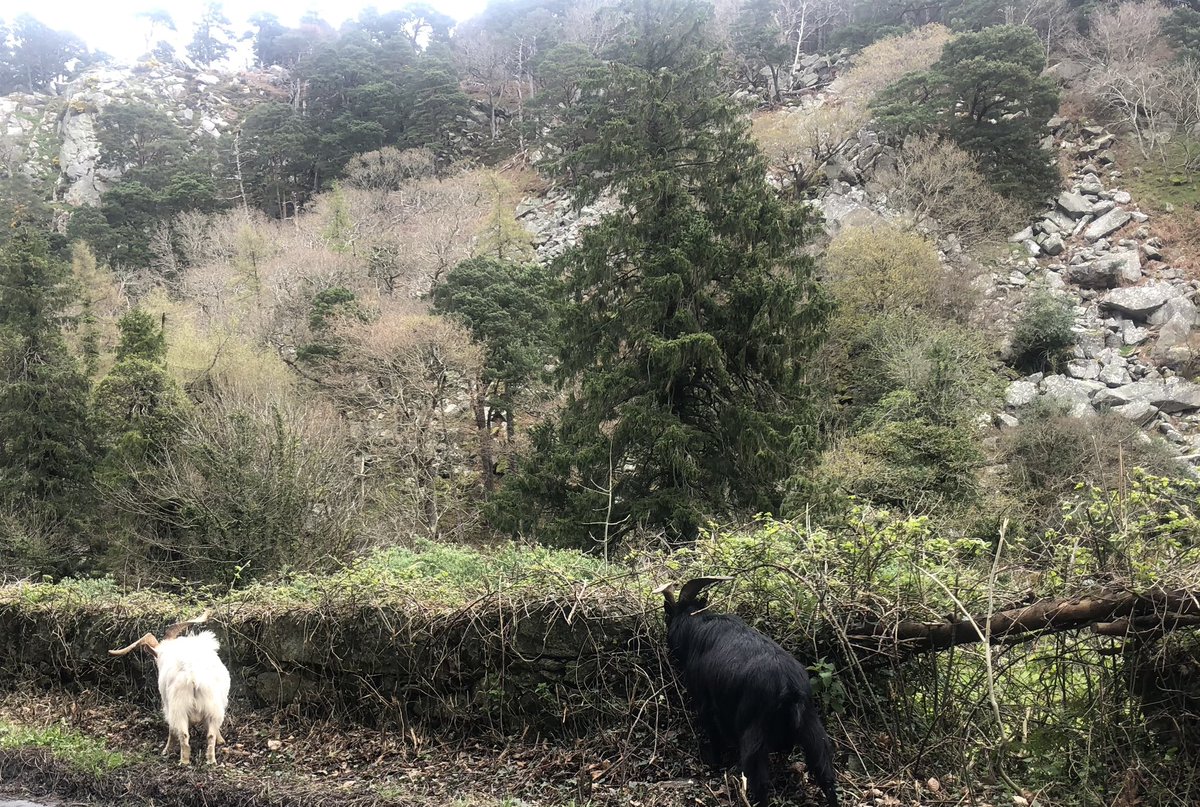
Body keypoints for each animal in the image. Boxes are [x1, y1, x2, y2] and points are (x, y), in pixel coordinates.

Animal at [109, 611, 230, 765]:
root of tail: (193, 675)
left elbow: (172, 730)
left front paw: (166, 750)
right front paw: (221, 741)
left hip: (178, 708)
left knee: (183, 735)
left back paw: (183, 761)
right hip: (213, 707)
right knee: (210, 735)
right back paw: (211, 760)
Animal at [654, 577, 838, 807]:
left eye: (668, 616)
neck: (694, 624)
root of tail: (790, 688)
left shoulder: (705, 702)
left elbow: (713, 733)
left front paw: (714, 762)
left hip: (754, 733)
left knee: (760, 783)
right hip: (811, 726)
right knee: (826, 774)